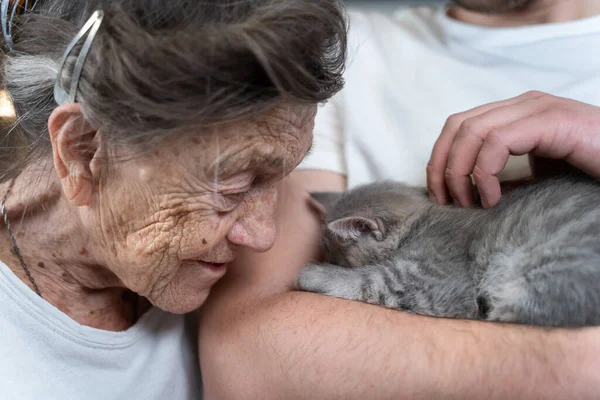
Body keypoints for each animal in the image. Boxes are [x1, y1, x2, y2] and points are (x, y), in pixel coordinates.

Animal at [296, 173, 600, 326]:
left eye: (332, 253)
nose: (324, 256)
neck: (422, 221)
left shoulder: (431, 282)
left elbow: (370, 281)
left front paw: (315, 274)